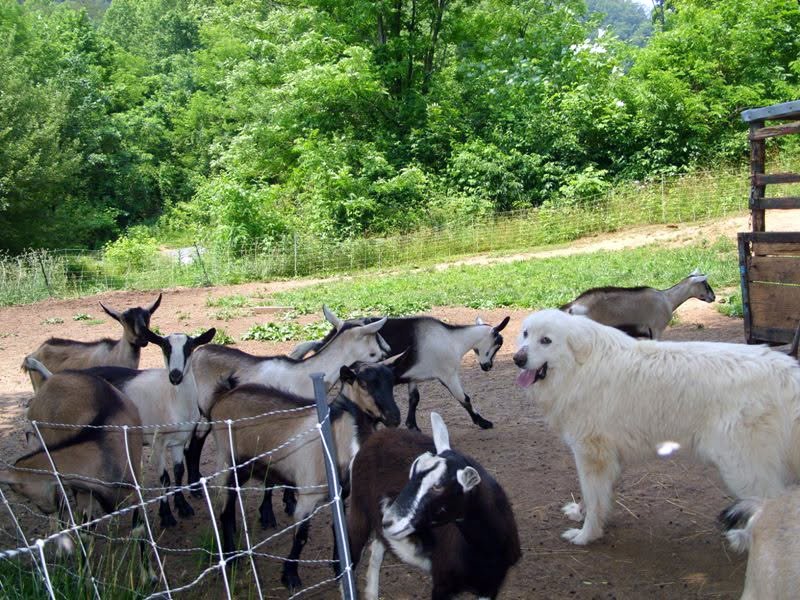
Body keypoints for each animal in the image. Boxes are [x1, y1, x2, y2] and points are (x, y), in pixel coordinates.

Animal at [0, 370, 153, 580]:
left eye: (18, 488)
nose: (45, 508)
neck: (102, 447)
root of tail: (52, 379)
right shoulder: (83, 491)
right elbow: (86, 532)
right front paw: (85, 576)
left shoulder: (134, 488)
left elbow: (139, 528)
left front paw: (149, 577)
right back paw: (61, 548)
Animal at [210, 356, 402, 591]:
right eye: (364, 384)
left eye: (392, 382)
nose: (394, 417)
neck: (335, 437)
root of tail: (224, 395)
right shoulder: (307, 496)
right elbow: (301, 536)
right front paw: (290, 577)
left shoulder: (340, 496)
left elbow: (339, 529)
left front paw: (340, 569)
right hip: (227, 460)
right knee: (224, 509)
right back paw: (232, 559)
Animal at [291, 307, 511, 430]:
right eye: (497, 344)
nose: (487, 366)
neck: (452, 340)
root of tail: (326, 340)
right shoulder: (448, 374)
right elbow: (464, 399)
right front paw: (483, 422)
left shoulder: (413, 377)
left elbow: (414, 399)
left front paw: (412, 425)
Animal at [348, 412, 521, 600]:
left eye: (438, 487)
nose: (388, 521)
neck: (485, 552)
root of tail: (377, 435)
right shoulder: (442, 583)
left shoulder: (490, 588)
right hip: (358, 508)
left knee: (377, 549)